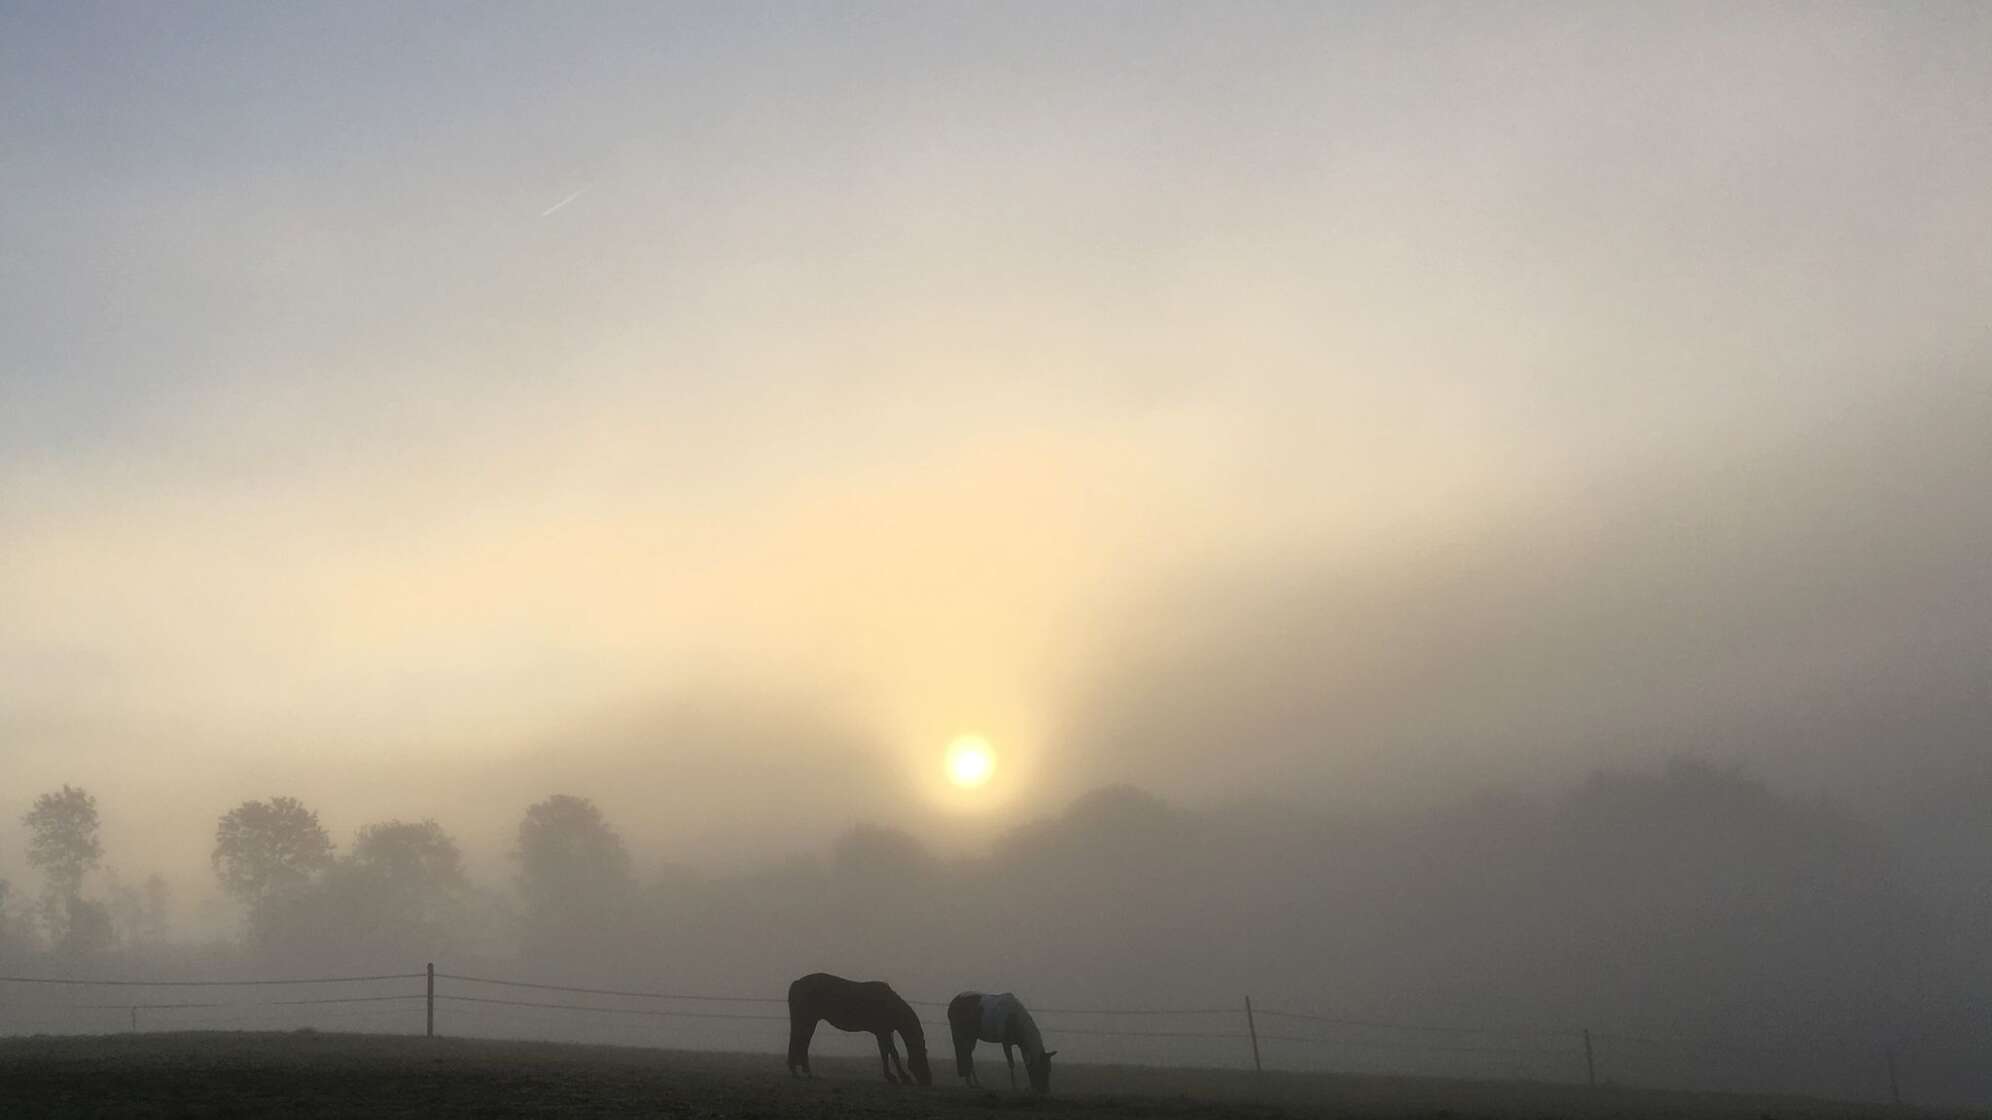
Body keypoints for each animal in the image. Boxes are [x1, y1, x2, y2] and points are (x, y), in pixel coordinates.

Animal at [780, 968, 928, 1084]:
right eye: (922, 1057)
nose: (928, 1081)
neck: (891, 1005)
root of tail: (796, 983)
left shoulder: (882, 1033)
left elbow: (885, 1053)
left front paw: (890, 1076)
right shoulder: (883, 1032)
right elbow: (894, 1053)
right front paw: (903, 1077)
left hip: (808, 1021)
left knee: (802, 1042)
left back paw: (802, 1072)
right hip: (807, 1020)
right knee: (800, 1041)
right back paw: (800, 1072)